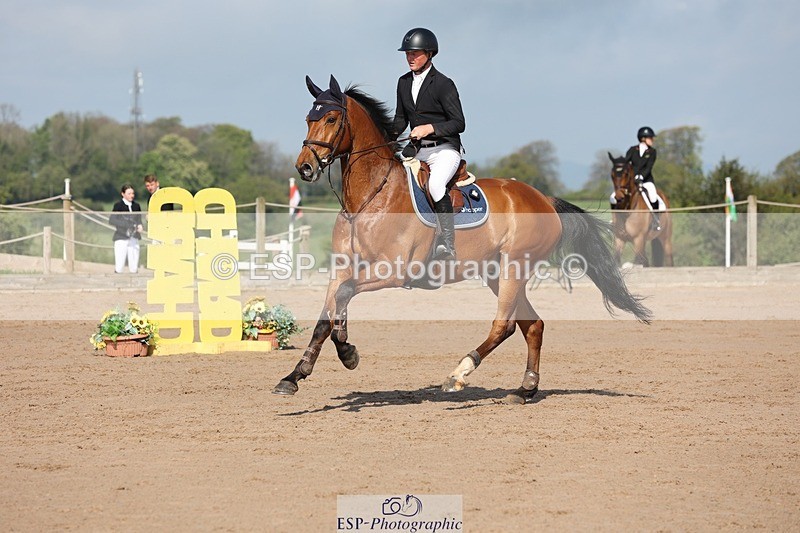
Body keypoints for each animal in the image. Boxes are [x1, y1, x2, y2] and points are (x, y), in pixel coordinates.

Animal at [273, 75, 652, 404]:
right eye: (308, 119)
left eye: (331, 118)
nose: (305, 167)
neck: (369, 198)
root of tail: (544, 199)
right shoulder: (342, 269)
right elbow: (327, 314)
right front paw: (294, 376)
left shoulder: (393, 270)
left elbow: (344, 297)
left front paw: (348, 352)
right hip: (497, 273)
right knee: (533, 325)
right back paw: (525, 389)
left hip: (514, 268)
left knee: (504, 325)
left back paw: (458, 374)